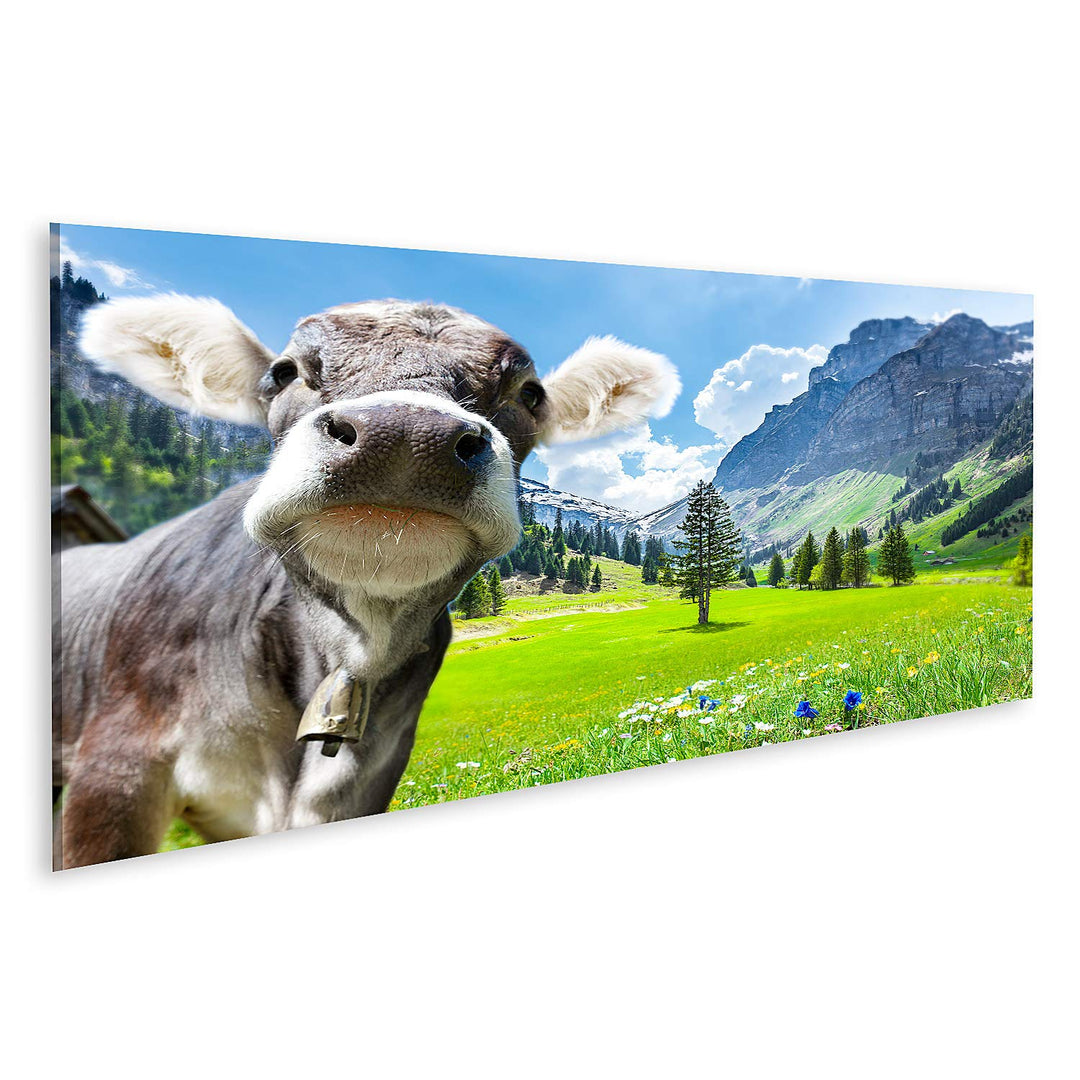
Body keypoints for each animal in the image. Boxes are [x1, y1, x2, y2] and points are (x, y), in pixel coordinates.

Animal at [53, 294, 679, 868]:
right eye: (283, 372)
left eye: (528, 393)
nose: (404, 436)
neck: (352, 652)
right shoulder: (117, 765)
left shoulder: (367, 780)